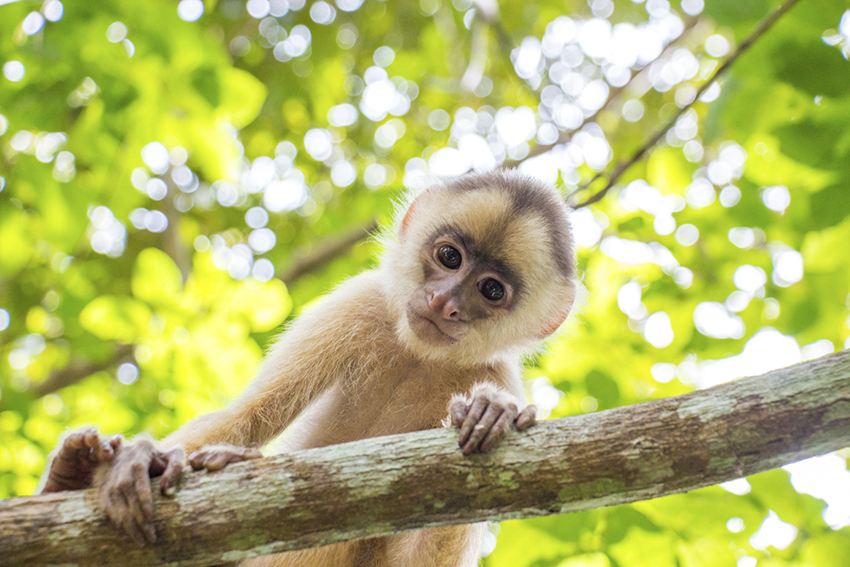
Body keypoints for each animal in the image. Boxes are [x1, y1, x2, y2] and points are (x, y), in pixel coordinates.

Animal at [39, 170, 576, 567]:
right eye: (449, 257)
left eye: (490, 290)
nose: (445, 303)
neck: (419, 356)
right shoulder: (357, 305)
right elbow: (247, 416)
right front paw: (144, 459)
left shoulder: (500, 373)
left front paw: (489, 411)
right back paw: (70, 476)